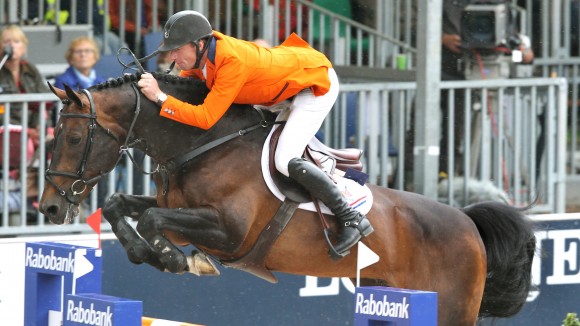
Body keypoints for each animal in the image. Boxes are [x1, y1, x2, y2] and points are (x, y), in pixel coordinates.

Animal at [39, 74, 536, 326]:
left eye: (75, 137)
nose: (48, 208)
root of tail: (468, 222)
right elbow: (124, 206)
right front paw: (152, 255)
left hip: (450, 308)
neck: (202, 142)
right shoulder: (179, 209)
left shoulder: (228, 232)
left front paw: (180, 261)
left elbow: (154, 220)